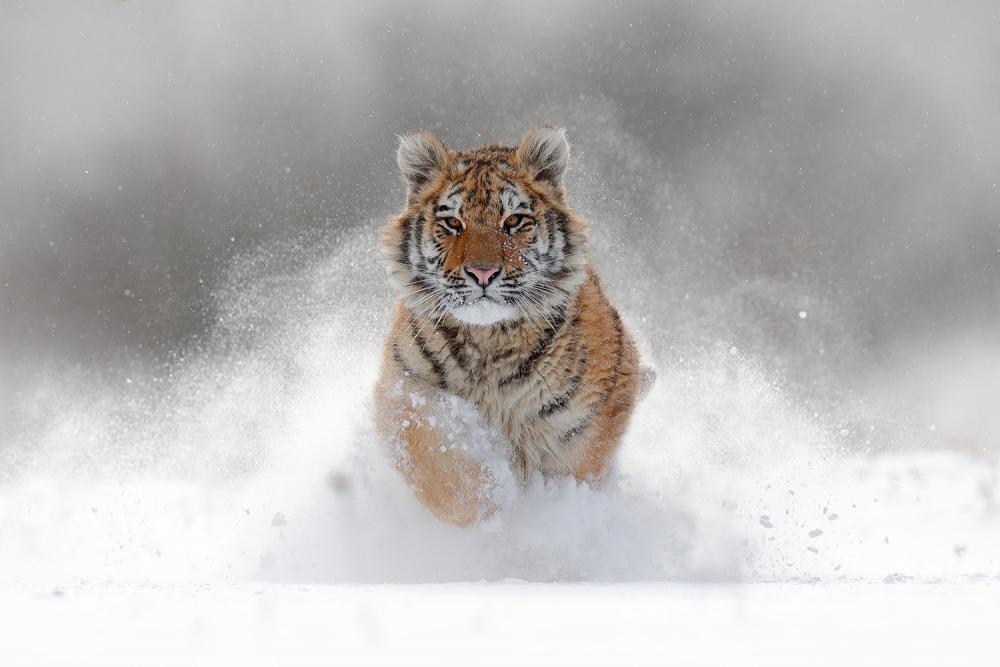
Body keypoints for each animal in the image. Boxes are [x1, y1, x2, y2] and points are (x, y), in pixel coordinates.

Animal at [374, 126, 651, 526]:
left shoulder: (586, 423)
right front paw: (491, 508)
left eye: (514, 221)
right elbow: (442, 469)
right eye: (453, 223)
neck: (489, 340)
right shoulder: (404, 391)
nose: (482, 272)